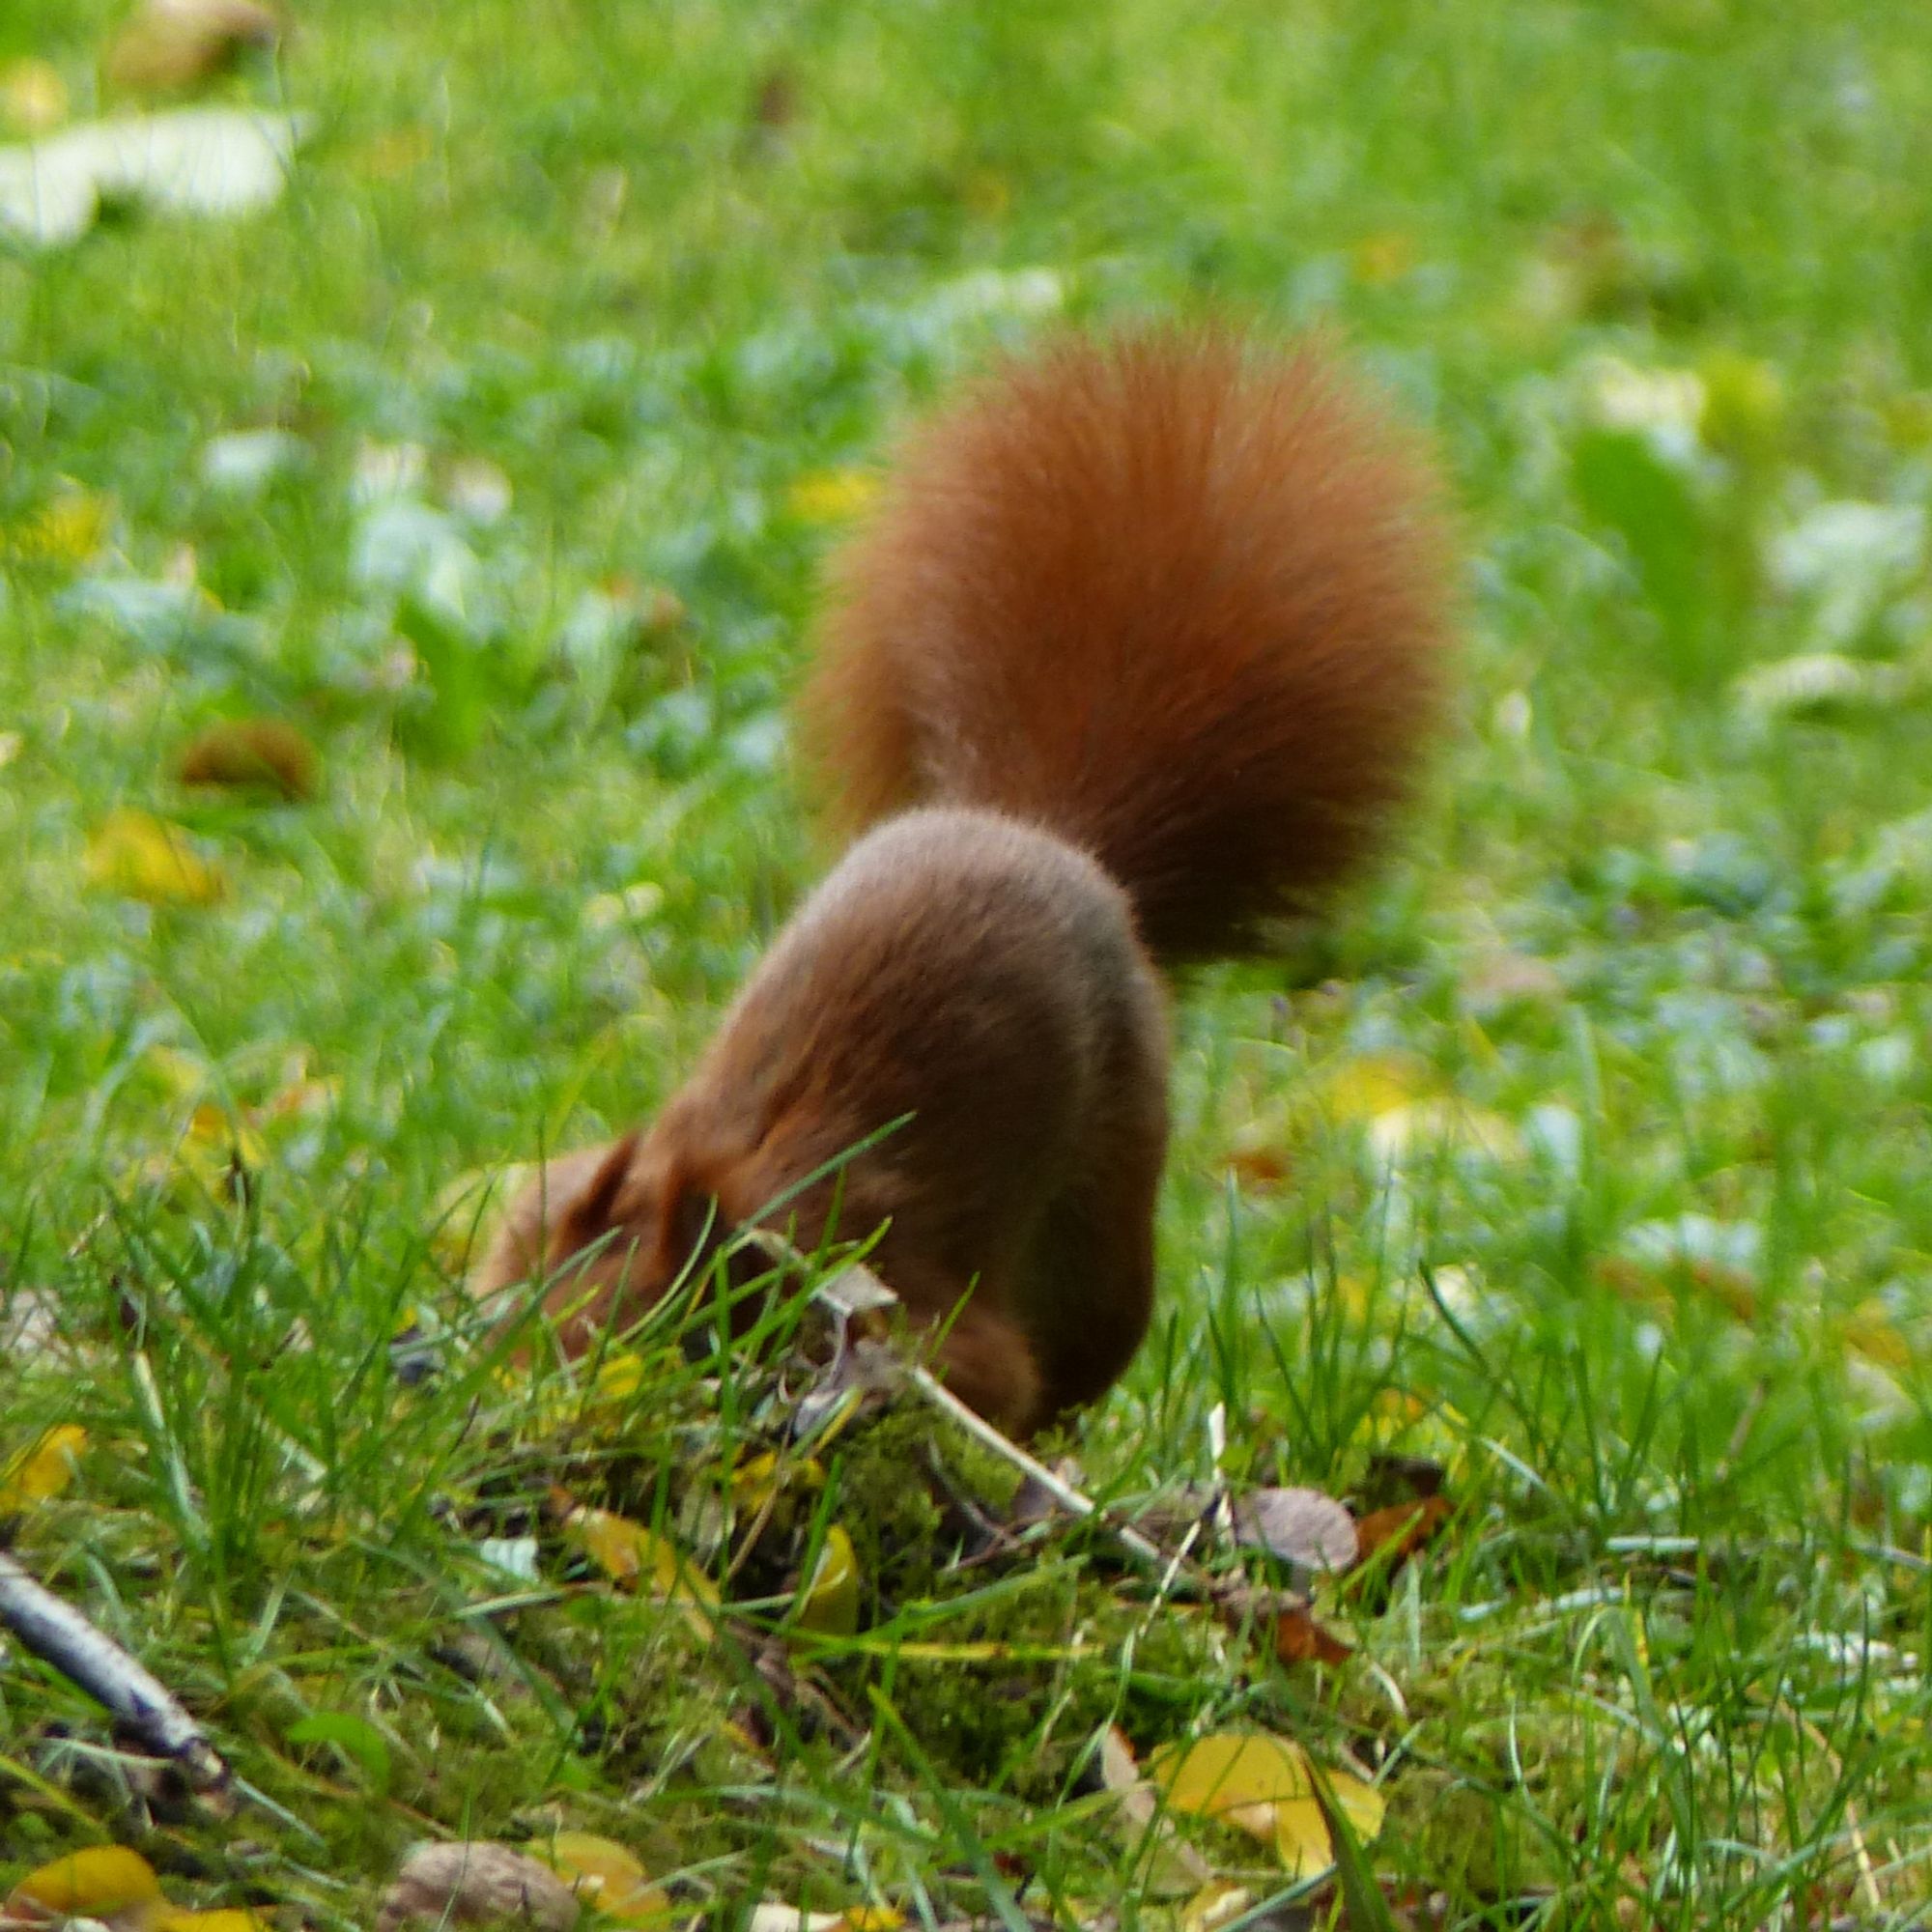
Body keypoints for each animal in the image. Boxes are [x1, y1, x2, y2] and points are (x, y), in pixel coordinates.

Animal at [479, 325, 1453, 1437]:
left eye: (633, 1343)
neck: (739, 1184)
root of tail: (1057, 838)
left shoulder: (899, 1289)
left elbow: (979, 1371)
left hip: (1104, 1197)